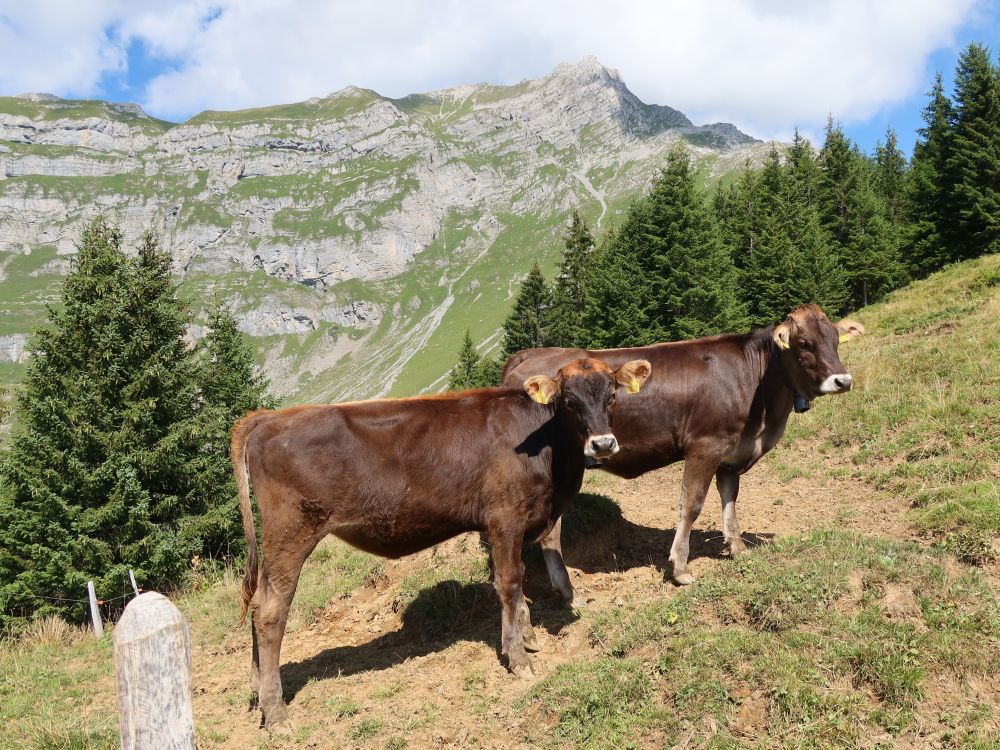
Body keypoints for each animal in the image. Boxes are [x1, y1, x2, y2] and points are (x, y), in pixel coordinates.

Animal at [236, 356, 656, 728]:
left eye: (612, 395)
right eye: (569, 401)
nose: (603, 445)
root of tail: (268, 417)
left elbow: (519, 582)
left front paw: (528, 636)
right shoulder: (504, 518)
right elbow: (509, 583)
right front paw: (518, 657)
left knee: (257, 604)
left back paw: (257, 692)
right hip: (291, 534)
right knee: (271, 613)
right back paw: (276, 713)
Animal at [504, 302, 864, 604]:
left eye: (836, 339)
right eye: (803, 343)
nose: (843, 380)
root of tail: (526, 355)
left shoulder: (731, 453)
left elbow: (730, 502)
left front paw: (737, 548)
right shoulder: (705, 446)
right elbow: (691, 505)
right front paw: (680, 568)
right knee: (549, 534)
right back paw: (567, 593)